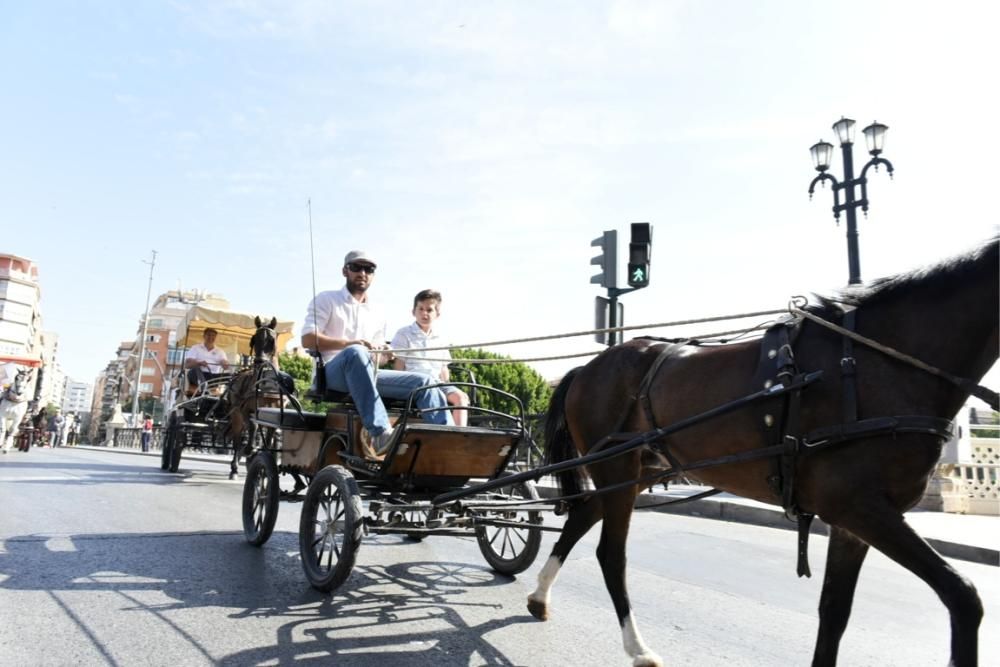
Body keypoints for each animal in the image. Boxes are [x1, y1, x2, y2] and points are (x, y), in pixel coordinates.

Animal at [528, 240, 996, 667]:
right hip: (617, 469)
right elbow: (963, 596)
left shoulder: (854, 520)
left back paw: (539, 596)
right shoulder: (861, 508)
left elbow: (834, 612)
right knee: (611, 555)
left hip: (636, 471)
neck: (870, 365)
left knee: (583, 515)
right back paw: (637, 649)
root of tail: (589, 367)